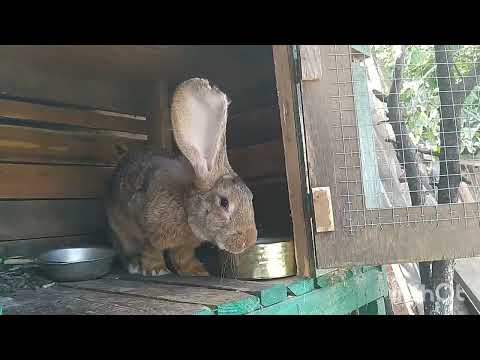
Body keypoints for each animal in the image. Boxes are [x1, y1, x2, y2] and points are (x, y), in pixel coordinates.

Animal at [107, 79, 258, 276]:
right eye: (224, 203)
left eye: (250, 197)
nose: (248, 241)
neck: (186, 206)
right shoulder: (144, 230)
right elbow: (150, 251)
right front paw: (157, 270)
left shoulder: (185, 245)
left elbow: (183, 256)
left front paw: (197, 271)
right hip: (119, 230)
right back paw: (134, 266)